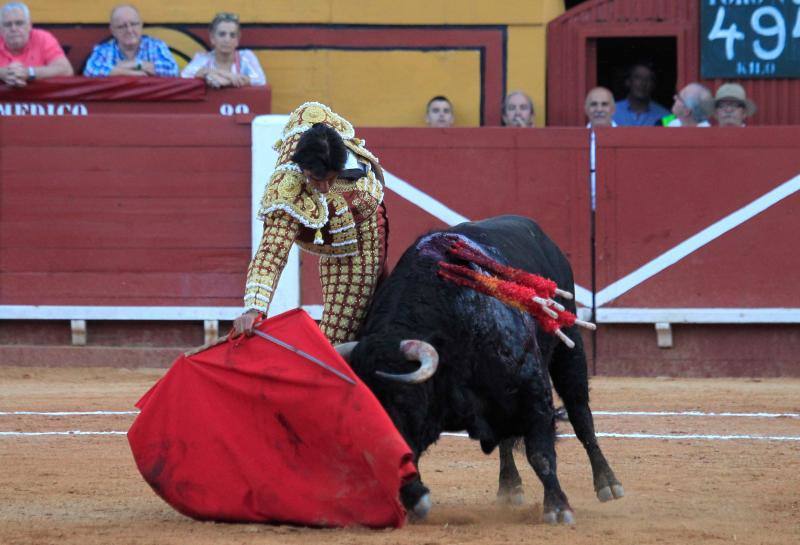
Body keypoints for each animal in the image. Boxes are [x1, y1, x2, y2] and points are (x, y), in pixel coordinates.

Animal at [334, 216, 620, 524]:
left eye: (401, 399)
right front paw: (415, 500)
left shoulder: (532, 389)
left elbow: (540, 453)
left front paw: (557, 508)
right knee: (506, 438)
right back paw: (509, 486)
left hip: (569, 345)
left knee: (580, 415)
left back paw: (608, 483)